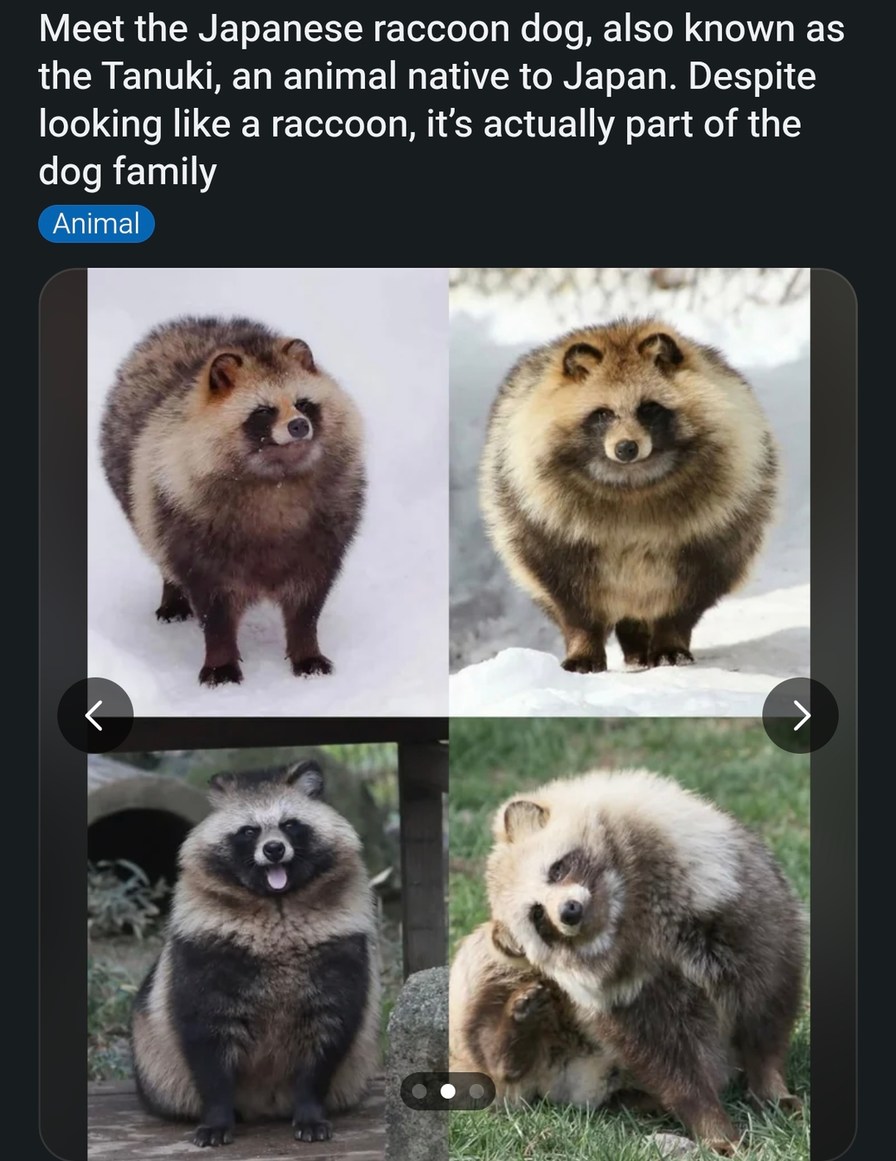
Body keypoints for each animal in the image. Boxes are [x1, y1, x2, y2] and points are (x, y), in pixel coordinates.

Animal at [100, 316, 365, 686]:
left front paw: (305, 649)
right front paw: (221, 659)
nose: (299, 426)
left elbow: (306, 604)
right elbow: (216, 613)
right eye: (264, 411)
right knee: (159, 548)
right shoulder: (189, 527)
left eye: (303, 403)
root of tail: (190, 323)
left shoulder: (325, 531)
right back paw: (172, 593)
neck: (277, 480)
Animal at [131, 761, 381, 1147]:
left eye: (290, 824)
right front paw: (217, 1116)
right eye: (248, 831)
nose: (274, 850)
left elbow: (329, 1033)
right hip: (153, 1059)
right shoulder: (205, 947)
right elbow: (205, 1037)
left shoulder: (339, 945)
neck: (276, 902)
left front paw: (310, 1110)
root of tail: (264, 1104)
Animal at [480, 319, 777, 673]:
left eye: (649, 408)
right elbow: (574, 602)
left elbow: (684, 599)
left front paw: (669, 640)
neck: (632, 483)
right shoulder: (547, 529)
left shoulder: (714, 531)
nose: (626, 448)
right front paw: (584, 646)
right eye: (603, 414)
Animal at [486, 769, 805, 1154]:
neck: (627, 918)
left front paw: (770, 1084)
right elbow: (670, 1064)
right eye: (538, 917)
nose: (569, 912)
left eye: (557, 869)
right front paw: (711, 1122)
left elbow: (767, 1004)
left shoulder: (739, 906)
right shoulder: (630, 1001)